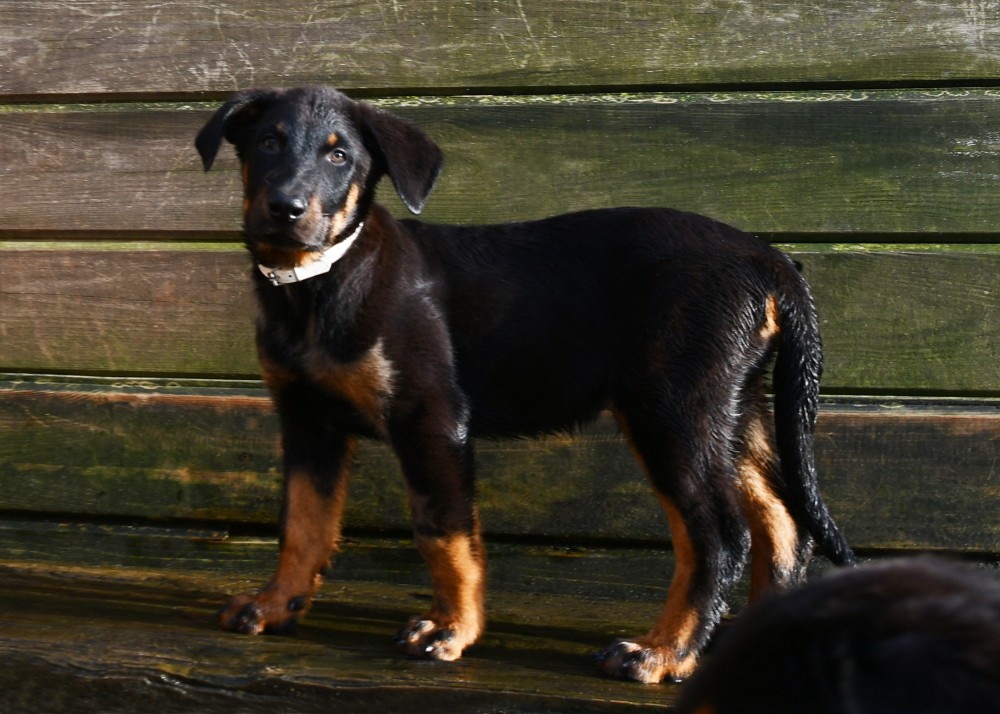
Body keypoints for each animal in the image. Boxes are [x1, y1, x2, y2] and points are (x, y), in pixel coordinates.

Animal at [195, 86, 854, 683]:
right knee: (781, 518)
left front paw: (451, 630)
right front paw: (275, 604)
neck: (316, 284)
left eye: (339, 156)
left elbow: (444, 533)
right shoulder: (308, 421)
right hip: (730, 410)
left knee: (718, 534)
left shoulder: (433, 420)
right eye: (268, 142)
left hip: (672, 411)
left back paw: (663, 652)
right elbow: (302, 522)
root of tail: (768, 259)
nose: (285, 206)